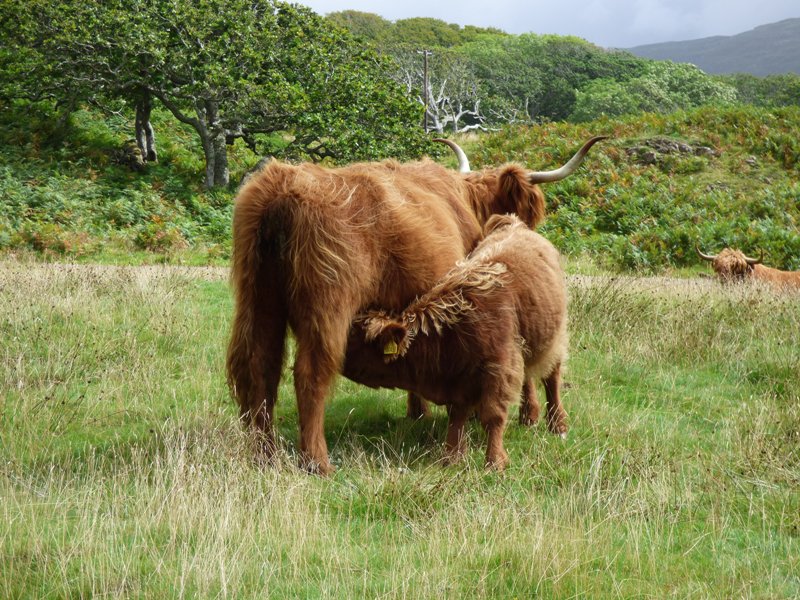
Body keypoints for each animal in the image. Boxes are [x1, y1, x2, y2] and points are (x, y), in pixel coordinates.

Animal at [344, 213, 568, 472]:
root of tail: (514, 223)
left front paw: (494, 461)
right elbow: (456, 416)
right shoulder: (460, 380)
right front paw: (451, 456)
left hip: (555, 338)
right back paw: (528, 416)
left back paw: (557, 424)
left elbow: (493, 415)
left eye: (352, 340)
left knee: (552, 378)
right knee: (528, 377)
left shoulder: (499, 369)